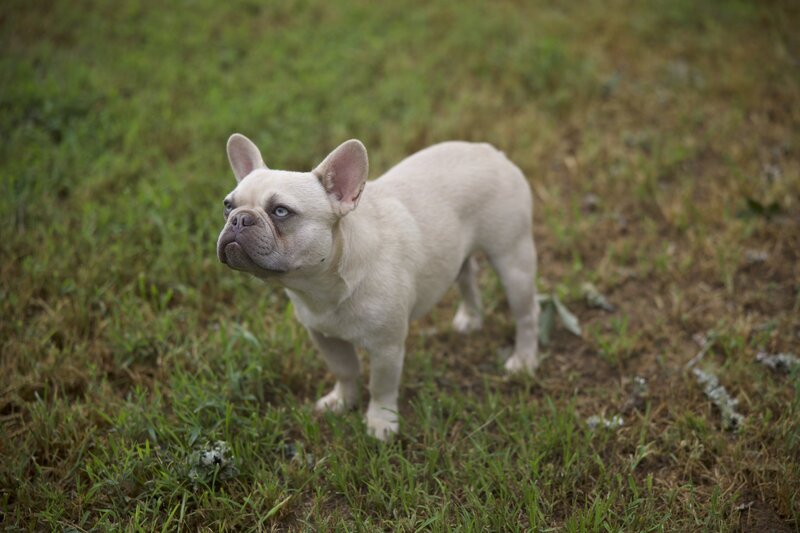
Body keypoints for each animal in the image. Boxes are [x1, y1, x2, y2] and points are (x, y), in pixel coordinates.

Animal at [216, 135, 540, 438]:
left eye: (281, 211)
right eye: (228, 206)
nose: (240, 219)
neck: (323, 286)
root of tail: (489, 150)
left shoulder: (387, 347)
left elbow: (381, 386)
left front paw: (381, 423)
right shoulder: (324, 336)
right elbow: (345, 370)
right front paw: (341, 401)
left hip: (513, 259)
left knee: (527, 314)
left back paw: (523, 361)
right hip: (459, 253)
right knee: (467, 275)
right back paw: (471, 318)